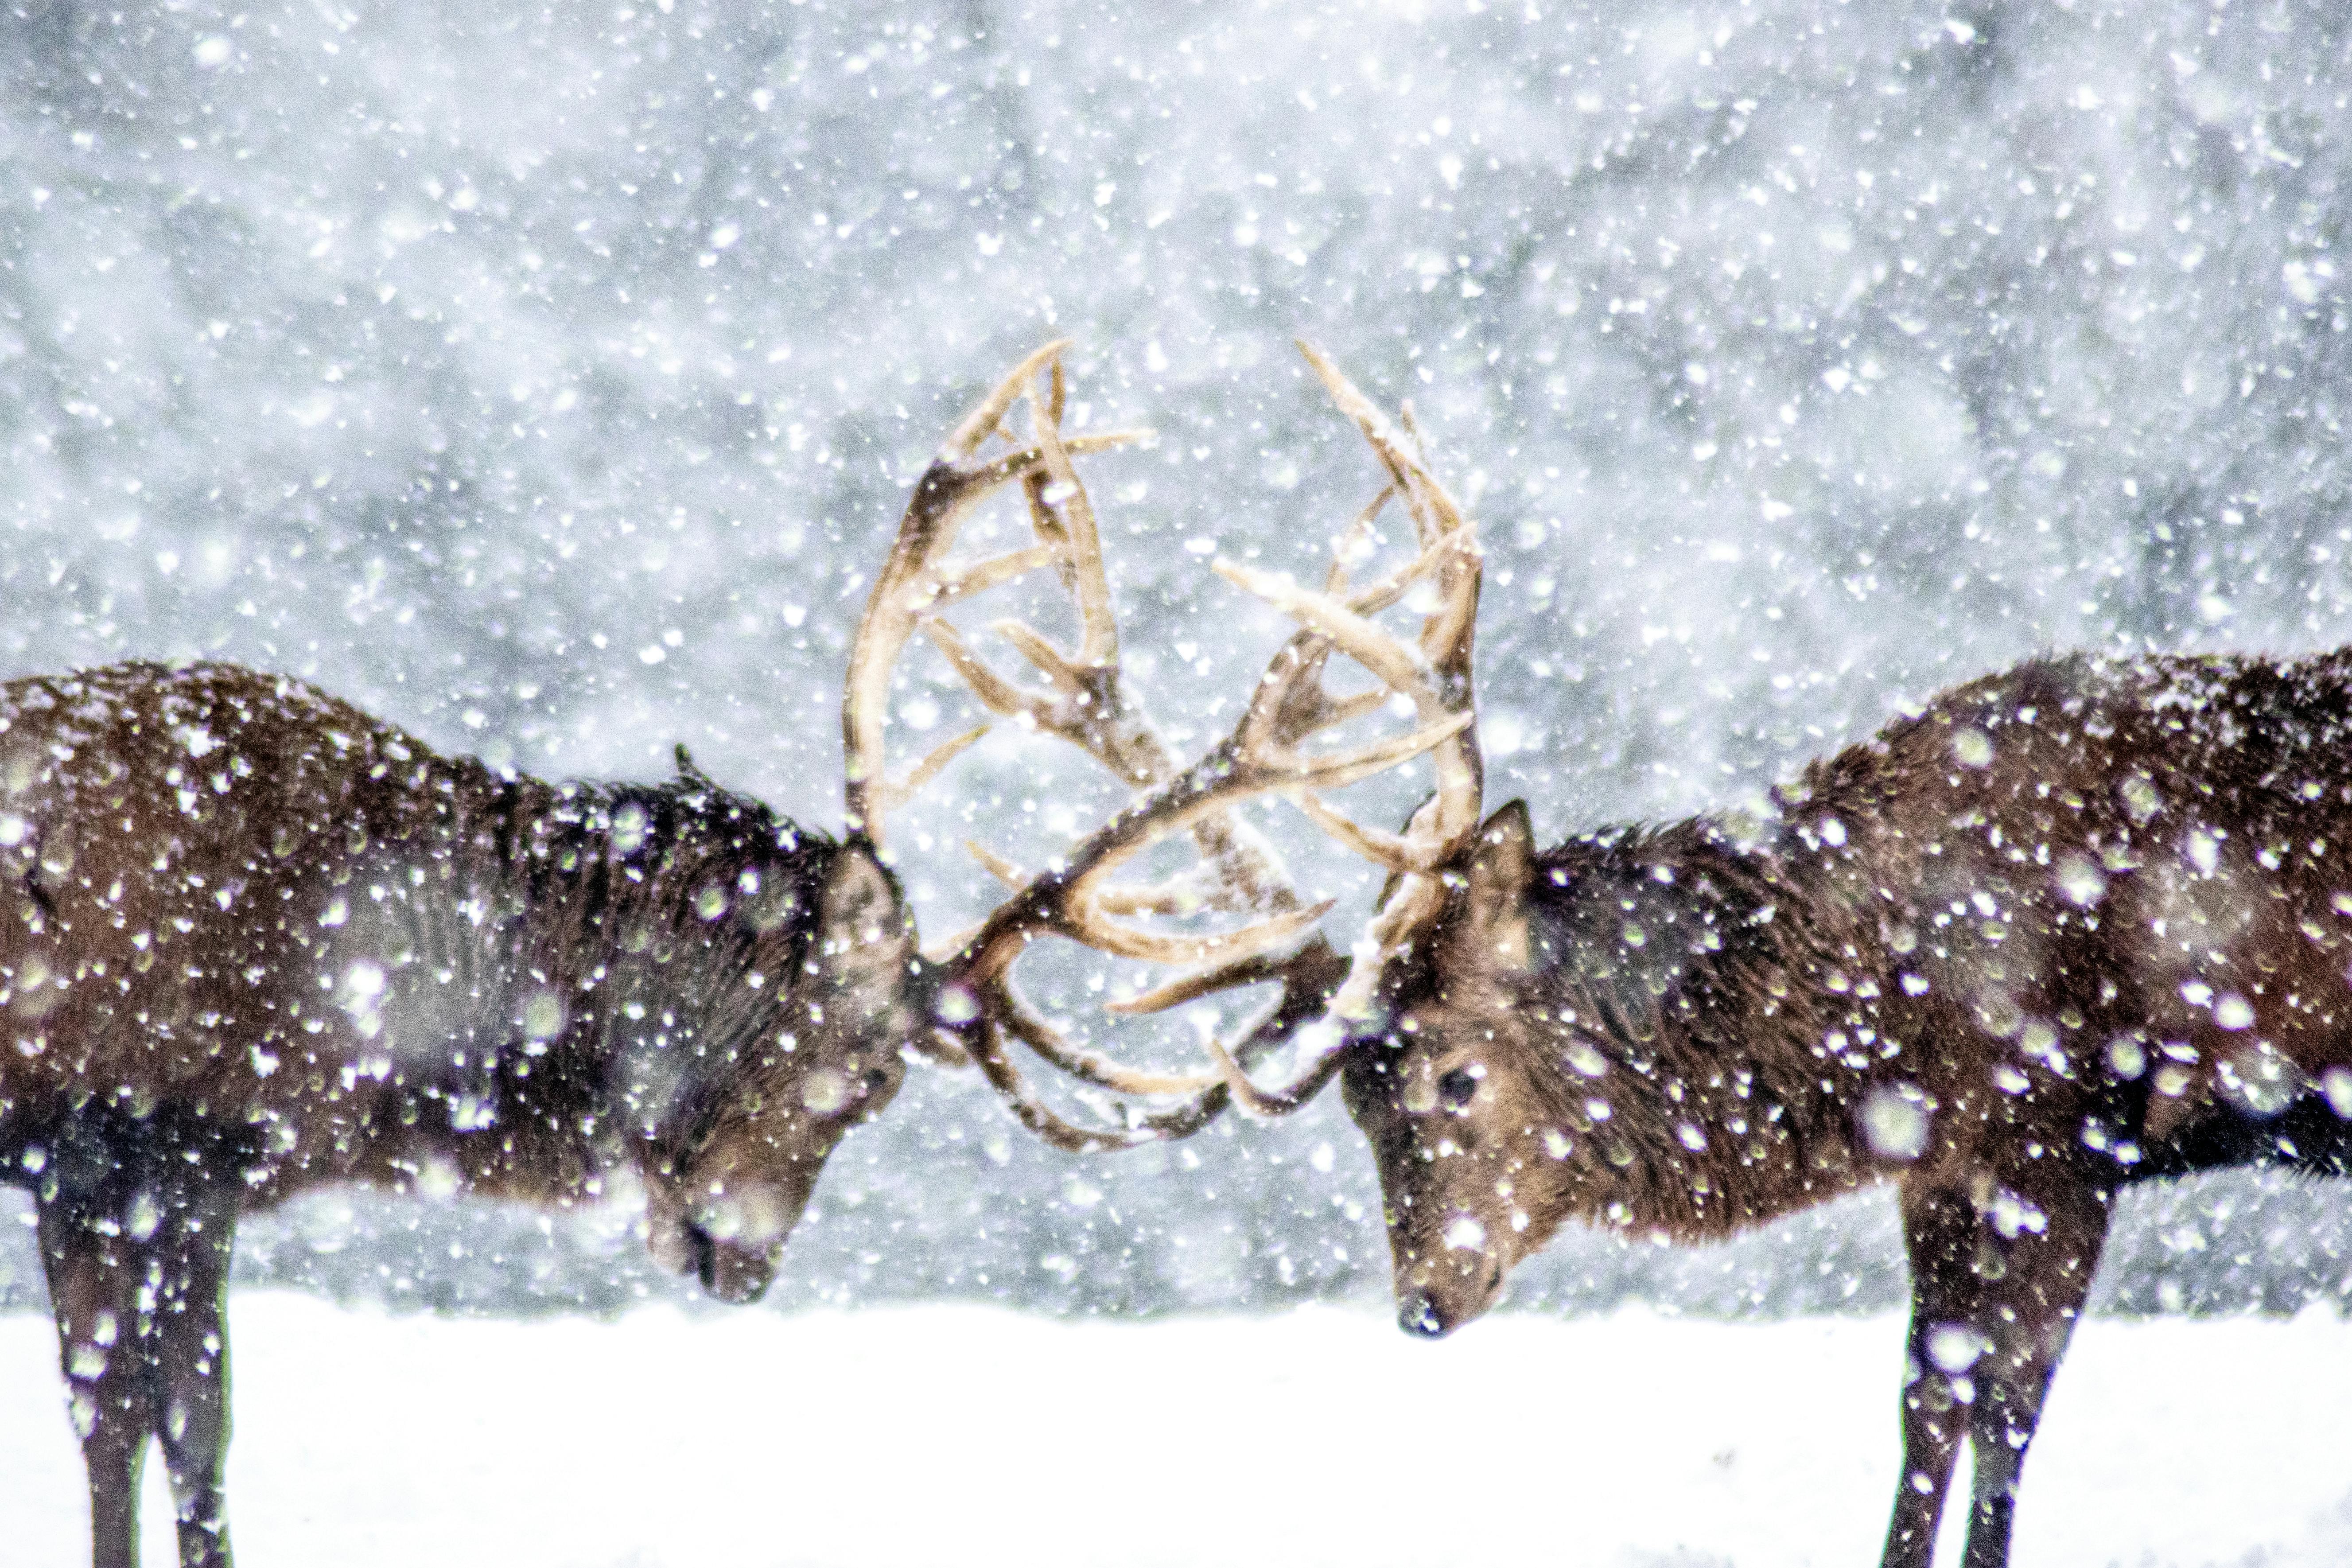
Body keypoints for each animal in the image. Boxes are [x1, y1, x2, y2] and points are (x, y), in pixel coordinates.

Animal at [4, 343, 1467, 1568]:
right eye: (868, 1076)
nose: (742, 1254)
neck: (363, 1007)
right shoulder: (150, 1143)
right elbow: (169, 1435)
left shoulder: (123, 1170)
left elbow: (131, 1431)